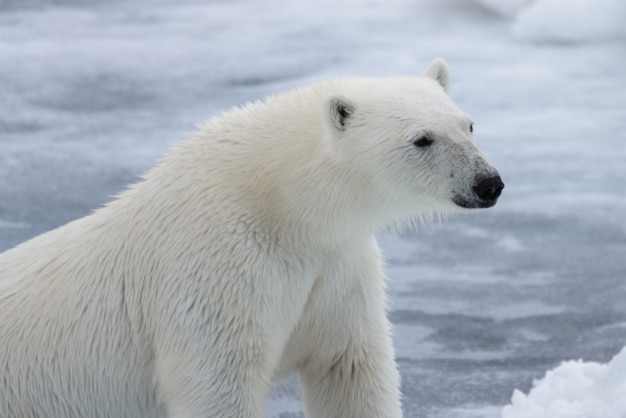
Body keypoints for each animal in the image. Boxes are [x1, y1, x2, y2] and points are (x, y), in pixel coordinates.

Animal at [0, 59, 502, 418]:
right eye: (422, 139)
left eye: (468, 124)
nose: (488, 183)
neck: (281, 205)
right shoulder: (214, 265)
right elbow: (218, 380)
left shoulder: (337, 265)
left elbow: (348, 367)